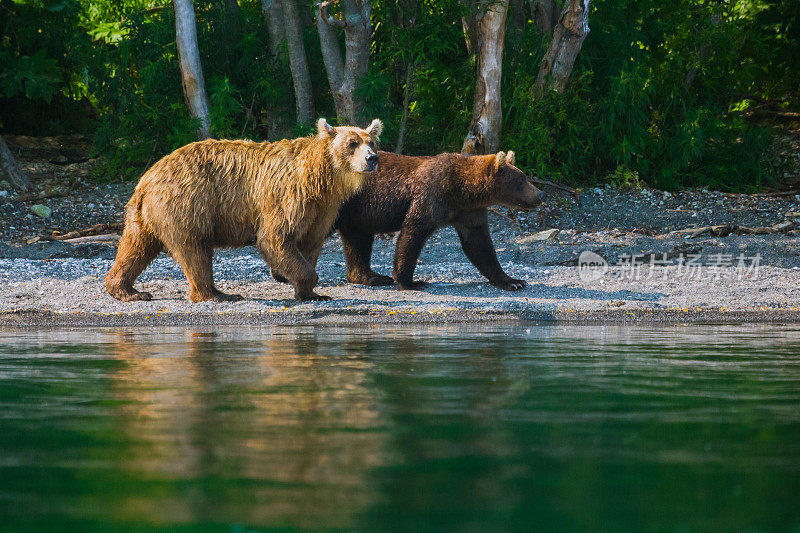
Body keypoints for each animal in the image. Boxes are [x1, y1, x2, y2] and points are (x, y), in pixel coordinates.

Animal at [105, 118, 382, 302]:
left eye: (371, 142)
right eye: (352, 143)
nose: (372, 158)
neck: (320, 179)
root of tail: (147, 177)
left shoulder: (322, 208)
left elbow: (310, 242)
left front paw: (312, 293)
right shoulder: (288, 196)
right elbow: (274, 237)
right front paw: (307, 282)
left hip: (145, 214)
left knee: (136, 246)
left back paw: (128, 290)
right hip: (187, 202)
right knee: (194, 248)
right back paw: (215, 294)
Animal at [334, 150, 548, 290]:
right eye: (521, 179)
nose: (541, 194)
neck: (462, 190)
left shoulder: (469, 212)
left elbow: (479, 244)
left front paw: (513, 281)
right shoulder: (431, 196)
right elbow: (413, 233)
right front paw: (410, 281)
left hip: (357, 214)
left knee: (358, 240)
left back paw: (371, 277)